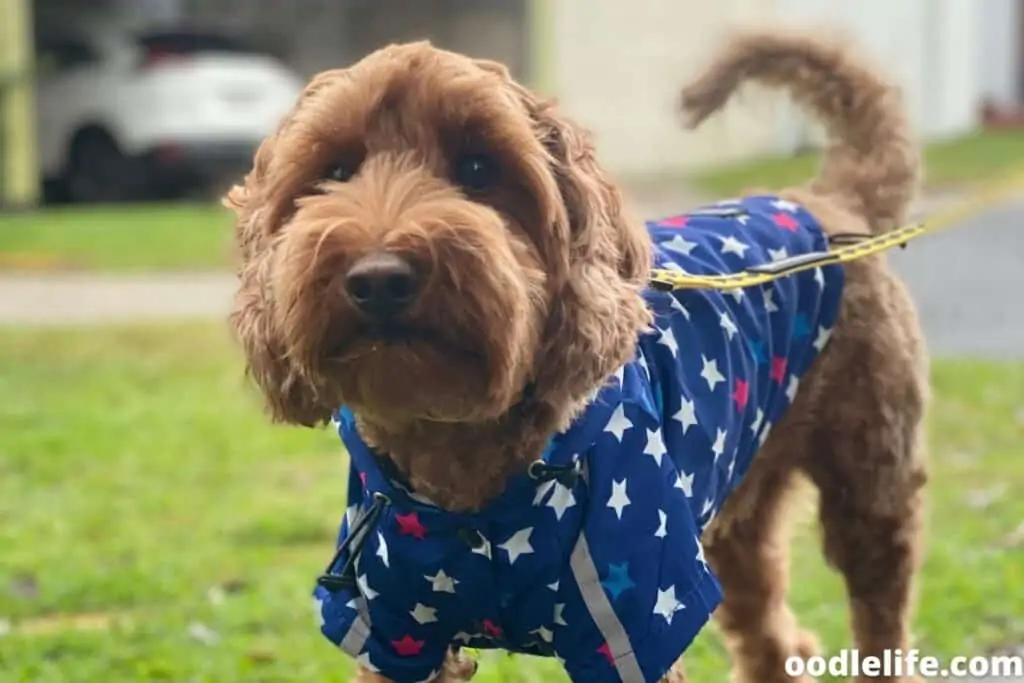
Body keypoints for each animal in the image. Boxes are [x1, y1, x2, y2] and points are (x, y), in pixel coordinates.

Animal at [228, 29, 933, 683]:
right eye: (336, 171)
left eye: (479, 169)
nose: (378, 279)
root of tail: (822, 202)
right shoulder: (393, 629)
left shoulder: (639, 613)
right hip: (742, 503)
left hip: (869, 481)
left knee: (879, 613)